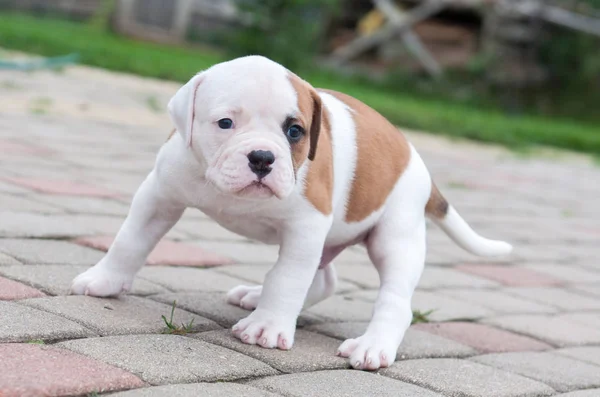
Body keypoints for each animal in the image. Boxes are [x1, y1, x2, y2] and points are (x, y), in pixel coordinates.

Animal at [70, 55, 510, 368]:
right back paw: (254, 295)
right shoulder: (159, 194)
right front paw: (104, 280)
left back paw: (372, 346)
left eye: (294, 131)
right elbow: (131, 240)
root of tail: (419, 164)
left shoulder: (305, 227)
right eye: (225, 123)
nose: (263, 157)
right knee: (325, 280)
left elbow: (287, 279)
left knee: (394, 300)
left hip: (395, 238)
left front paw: (267, 327)